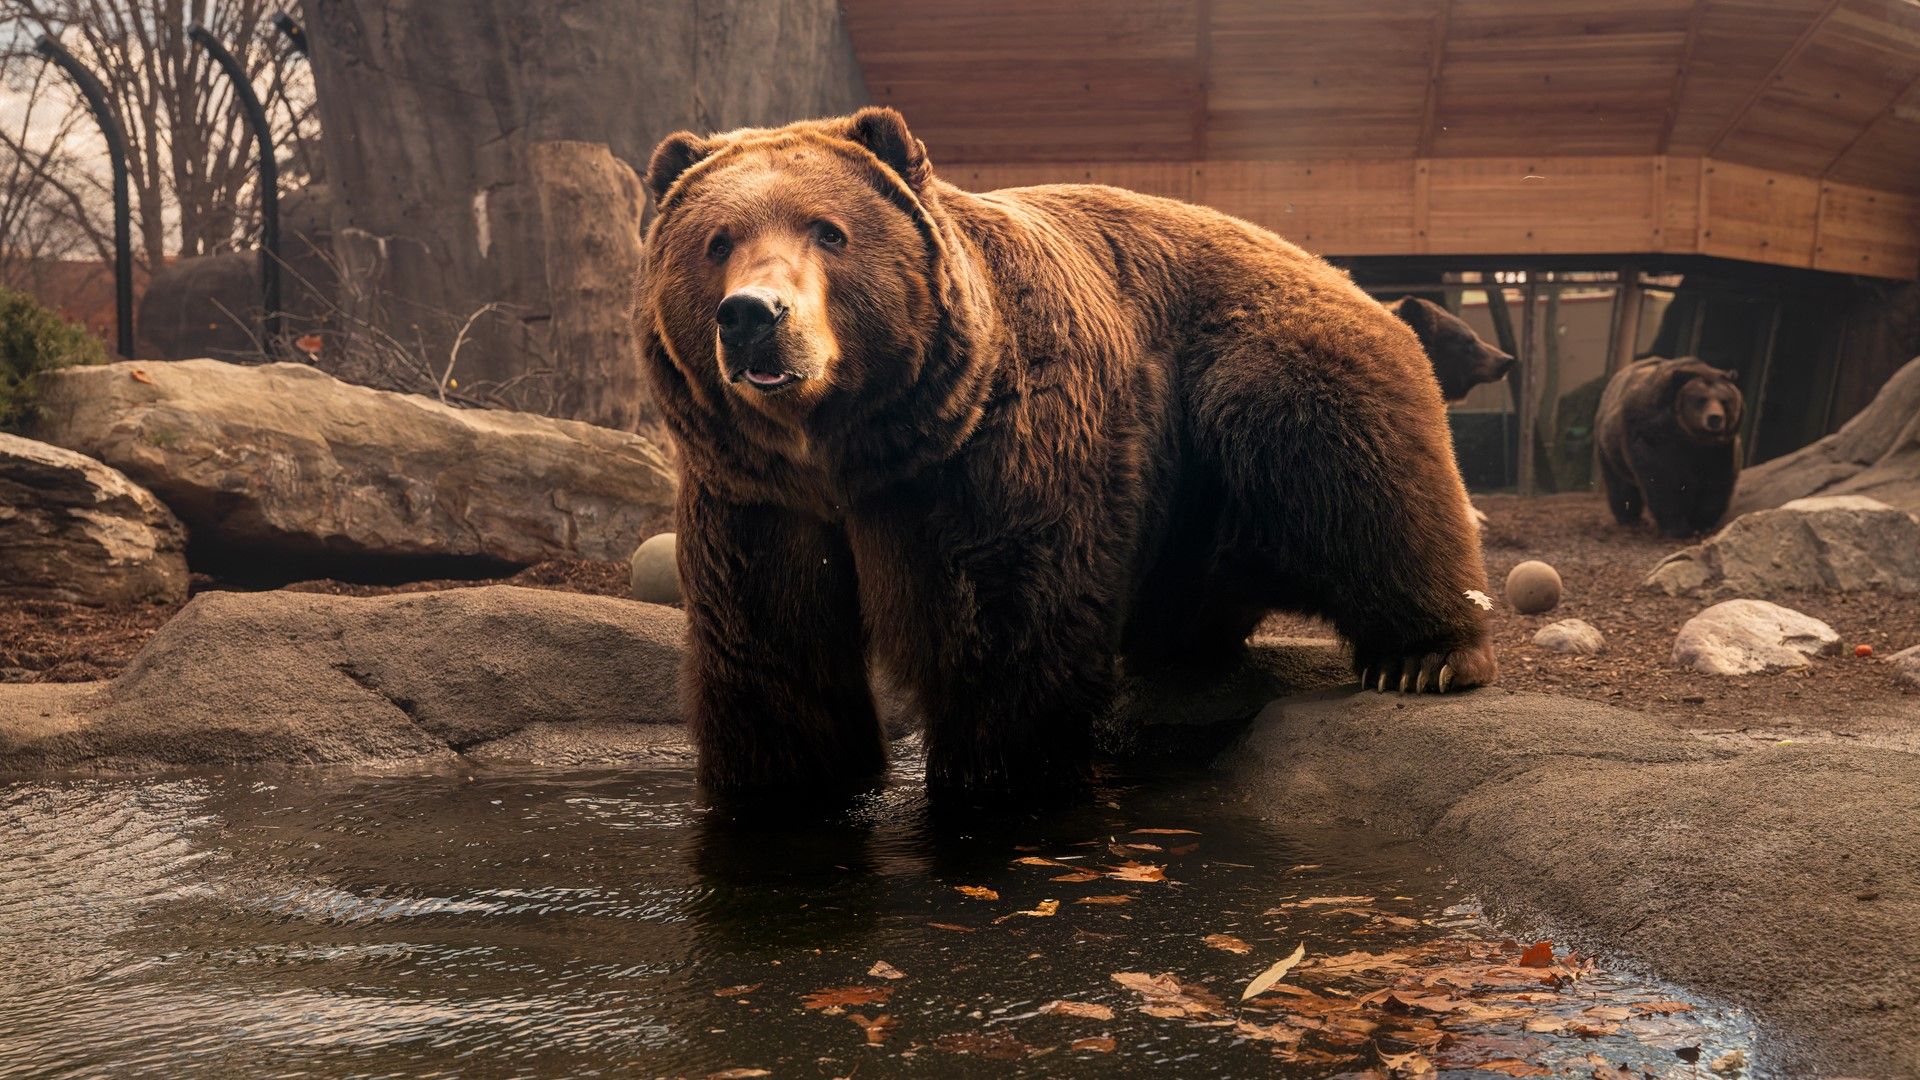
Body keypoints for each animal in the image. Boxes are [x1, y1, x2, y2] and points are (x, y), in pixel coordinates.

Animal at [635, 108, 1497, 797]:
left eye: (829, 231)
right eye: (716, 241)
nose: (754, 315)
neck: (853, 451)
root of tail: (1330, 264)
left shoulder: (997, 458)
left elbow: (1009, 632)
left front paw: (996, 778)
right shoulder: (754, 497)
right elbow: (772, 656)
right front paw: (783, 783)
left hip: (1259, 373)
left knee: (1355, 477)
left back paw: (1426, 657)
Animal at [1595, 356, 1743, 538]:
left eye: (1725, 401)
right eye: (1701, 399)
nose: (1715, 418)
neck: (1692, 439)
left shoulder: (1720, 451)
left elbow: (1716, 484)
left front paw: (1701, 525)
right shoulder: (1653, 439)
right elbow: (1662, 483)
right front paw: (1677, 528)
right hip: (1610, 450)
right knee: (1620, 485)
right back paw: (1630, 519)